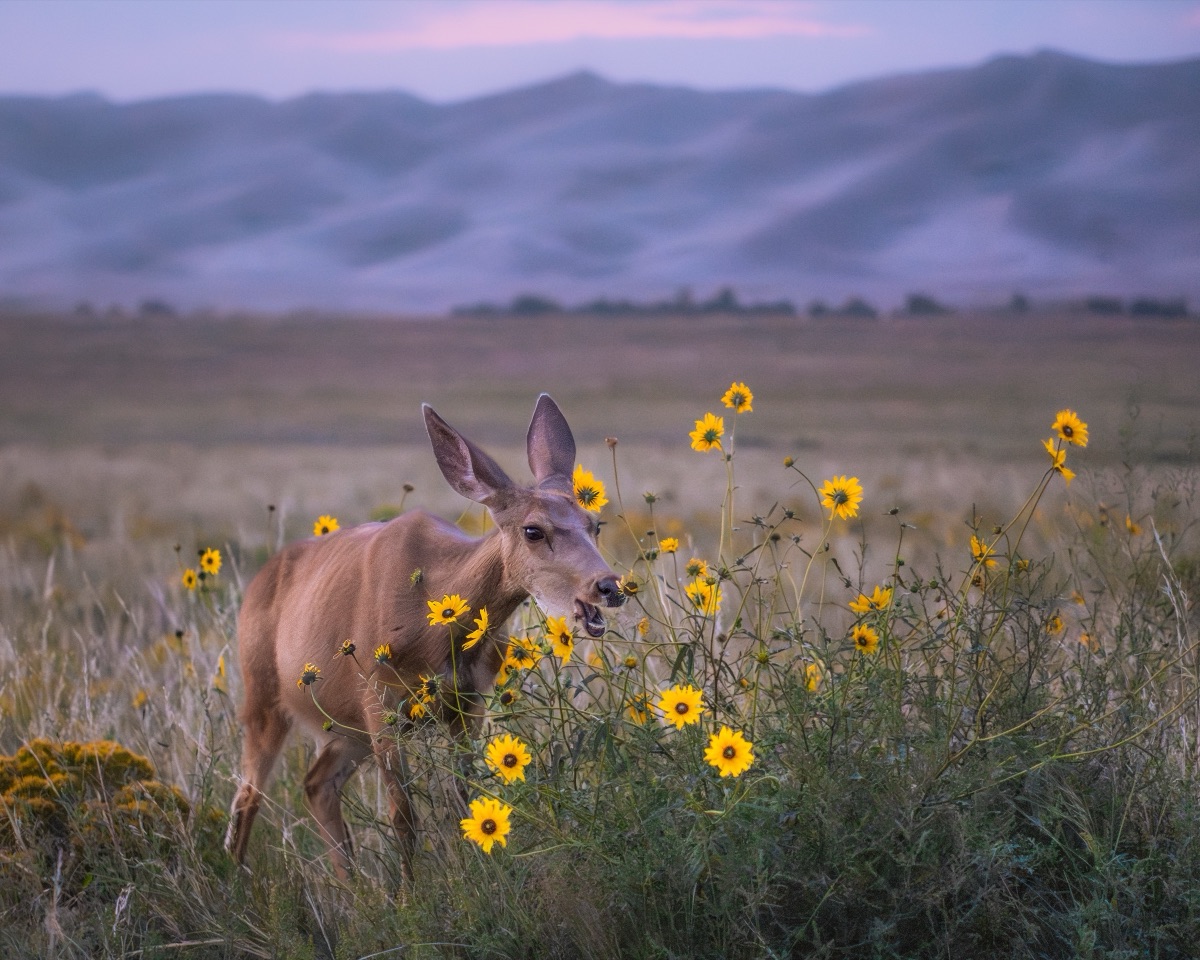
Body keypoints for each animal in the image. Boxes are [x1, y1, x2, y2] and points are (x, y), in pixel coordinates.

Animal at [225, 394, 625, 878]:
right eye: (533, 530)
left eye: (595, 524)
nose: (608, 586)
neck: (436, 631)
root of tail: (257, 582)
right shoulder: (379, 700)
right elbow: (403, 815)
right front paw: (409, 892)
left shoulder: (468, 704)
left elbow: (460, 802)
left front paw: (472, 876)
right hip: (263, 694)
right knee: (247, 796)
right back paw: (238, 883)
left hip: (344, 727)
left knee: (315, 782)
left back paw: (351, 888)